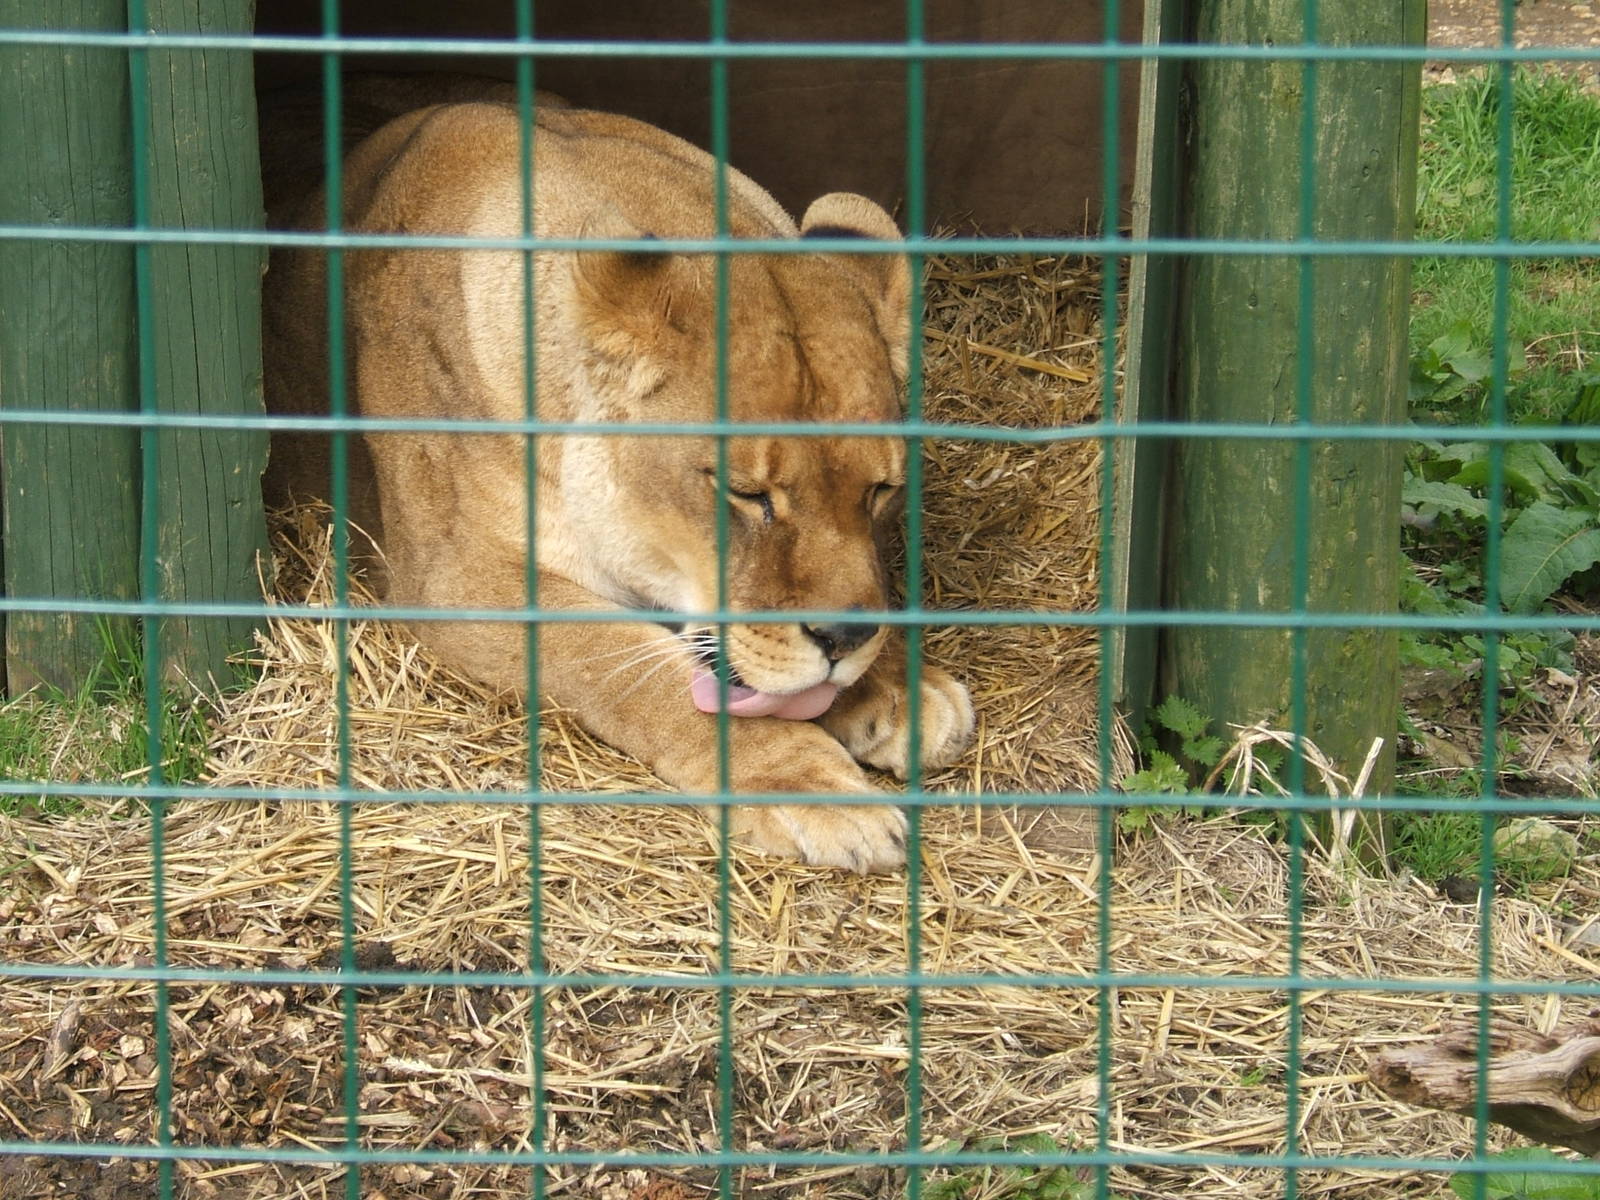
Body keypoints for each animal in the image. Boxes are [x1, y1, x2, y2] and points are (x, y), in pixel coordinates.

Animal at [262, 82, 974, 872]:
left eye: (880, 491)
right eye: (745, 493)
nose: (844, 641)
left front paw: (902, 688)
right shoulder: (455, 581)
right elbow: (633, 672)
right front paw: (813, 787)